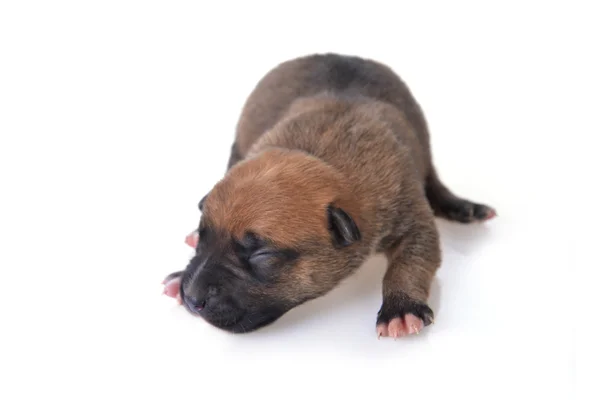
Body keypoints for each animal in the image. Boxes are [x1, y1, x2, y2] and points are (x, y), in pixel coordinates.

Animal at [162, 51, 494, 336]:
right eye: (204, 235)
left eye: (262, 255)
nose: (191, 298)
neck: (321, 154)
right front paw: (181, 272)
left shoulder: (409, 211)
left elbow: (412, 260)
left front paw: (401, 309)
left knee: (434, 183)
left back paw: (465, 207)